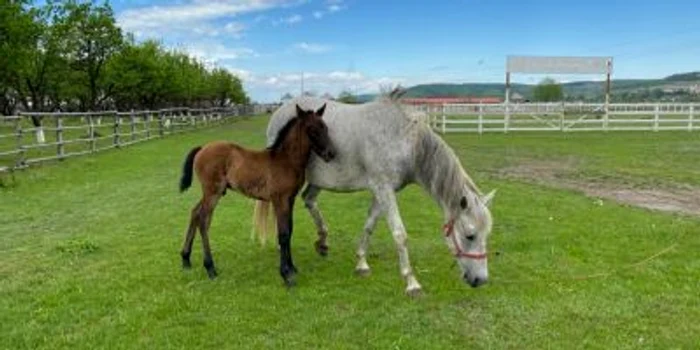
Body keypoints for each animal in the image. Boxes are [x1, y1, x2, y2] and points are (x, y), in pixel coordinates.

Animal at [178, 104, 336, 288]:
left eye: (325, 127)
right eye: (311, 129)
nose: (331, 153)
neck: (285, 160)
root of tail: (202, 148)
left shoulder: (290, 199)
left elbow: (289, 230)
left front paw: (292, 267)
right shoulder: (279, 200)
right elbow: (283, 234)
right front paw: (286, 275)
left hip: (210, 193)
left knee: (195, 212)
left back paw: (186, 259)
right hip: (213, 192)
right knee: (203, 220)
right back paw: (210, 268)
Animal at [254, 88, 494, 296]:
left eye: (486, 234)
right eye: (470, 235)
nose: (481, 280)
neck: (403, 140)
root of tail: (280, 111)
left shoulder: (383, 191)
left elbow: (369, 225)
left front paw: (361, 263)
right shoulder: (384, 190)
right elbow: (399, 234)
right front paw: (412, 283)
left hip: (317, 182)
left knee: (309, 201)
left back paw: (322, 242)